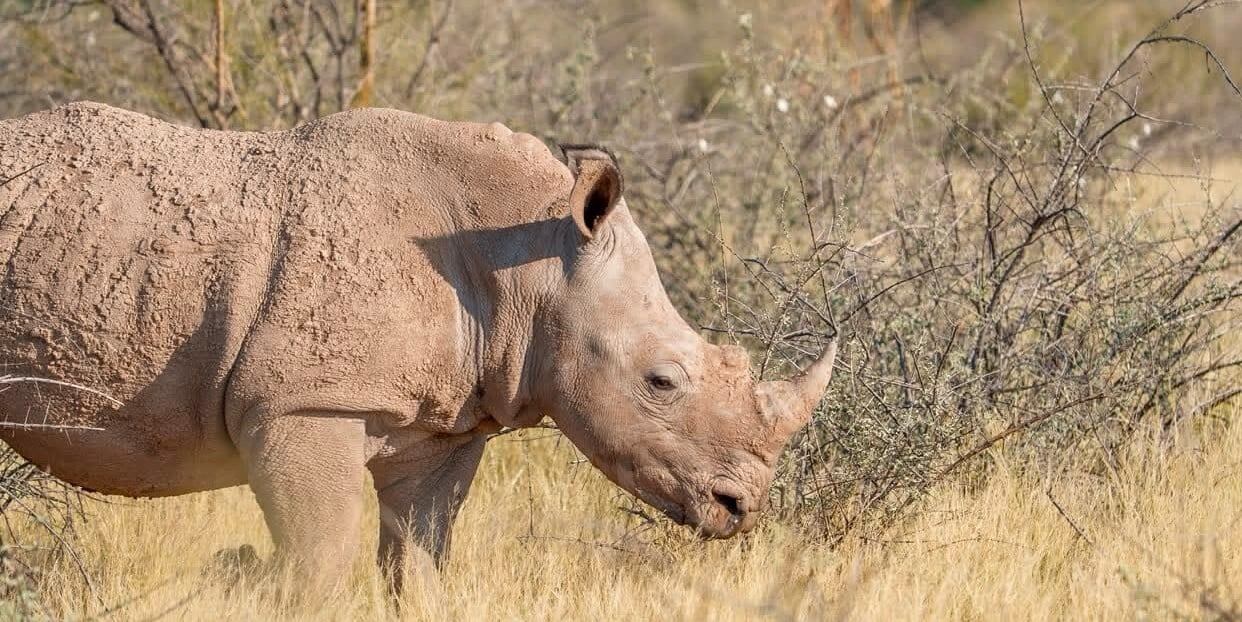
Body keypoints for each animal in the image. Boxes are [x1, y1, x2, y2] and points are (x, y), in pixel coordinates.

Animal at [0, 102, 836, 593]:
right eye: (662, 381)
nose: (742, 508)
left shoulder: (447, 422)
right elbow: (320, 565)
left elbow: (420, 563)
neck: (529, 258)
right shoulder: (304, 401)